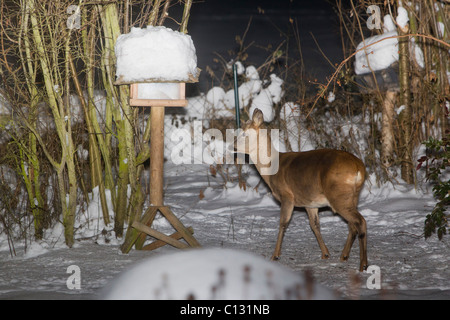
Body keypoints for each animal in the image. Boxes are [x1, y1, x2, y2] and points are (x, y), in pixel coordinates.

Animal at [234, 109, 368, 272]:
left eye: (244, 134)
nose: (232, 145)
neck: (272, 169)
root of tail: (359, 168)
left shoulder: (287, 195)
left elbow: (283, 223)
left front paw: (275, 255)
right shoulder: (310, 203)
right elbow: (314, 225)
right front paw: (325, 253)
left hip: (338, 195)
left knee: (360, 221)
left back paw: (363, 264)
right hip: (352, 196)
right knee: (352, 224)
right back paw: (344, 256)